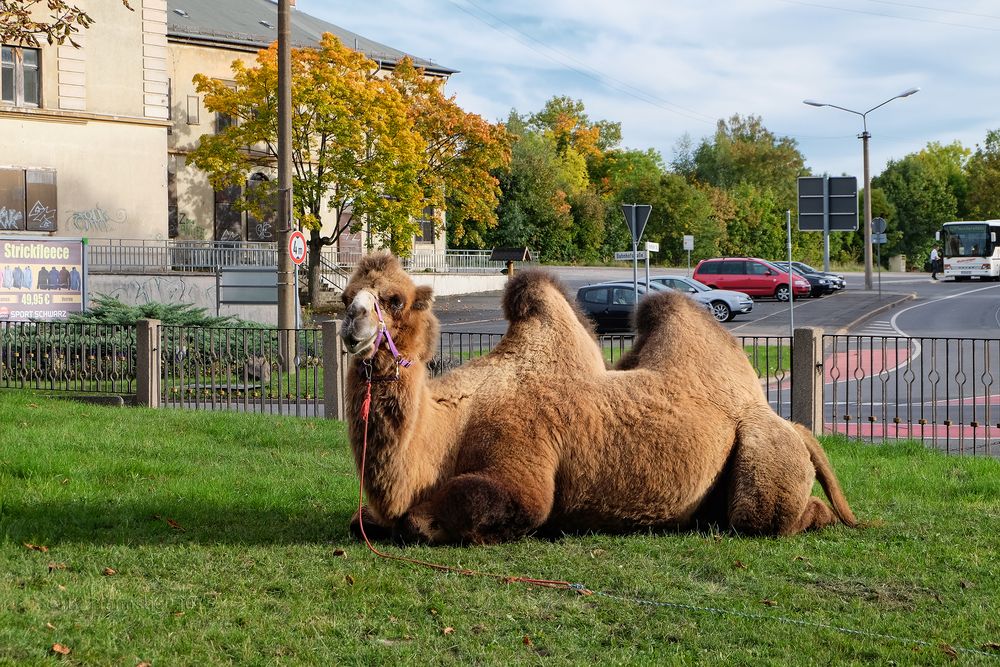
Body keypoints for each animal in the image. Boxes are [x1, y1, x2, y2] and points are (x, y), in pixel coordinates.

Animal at [340, 253, 856, 544]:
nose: (351, 323)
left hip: (763, 455)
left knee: (768, 516)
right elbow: (361, 519)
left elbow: (466, 510)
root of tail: (794, 427)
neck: (451, 424)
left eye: (395, 300)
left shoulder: (520, 467)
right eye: (347, 295)